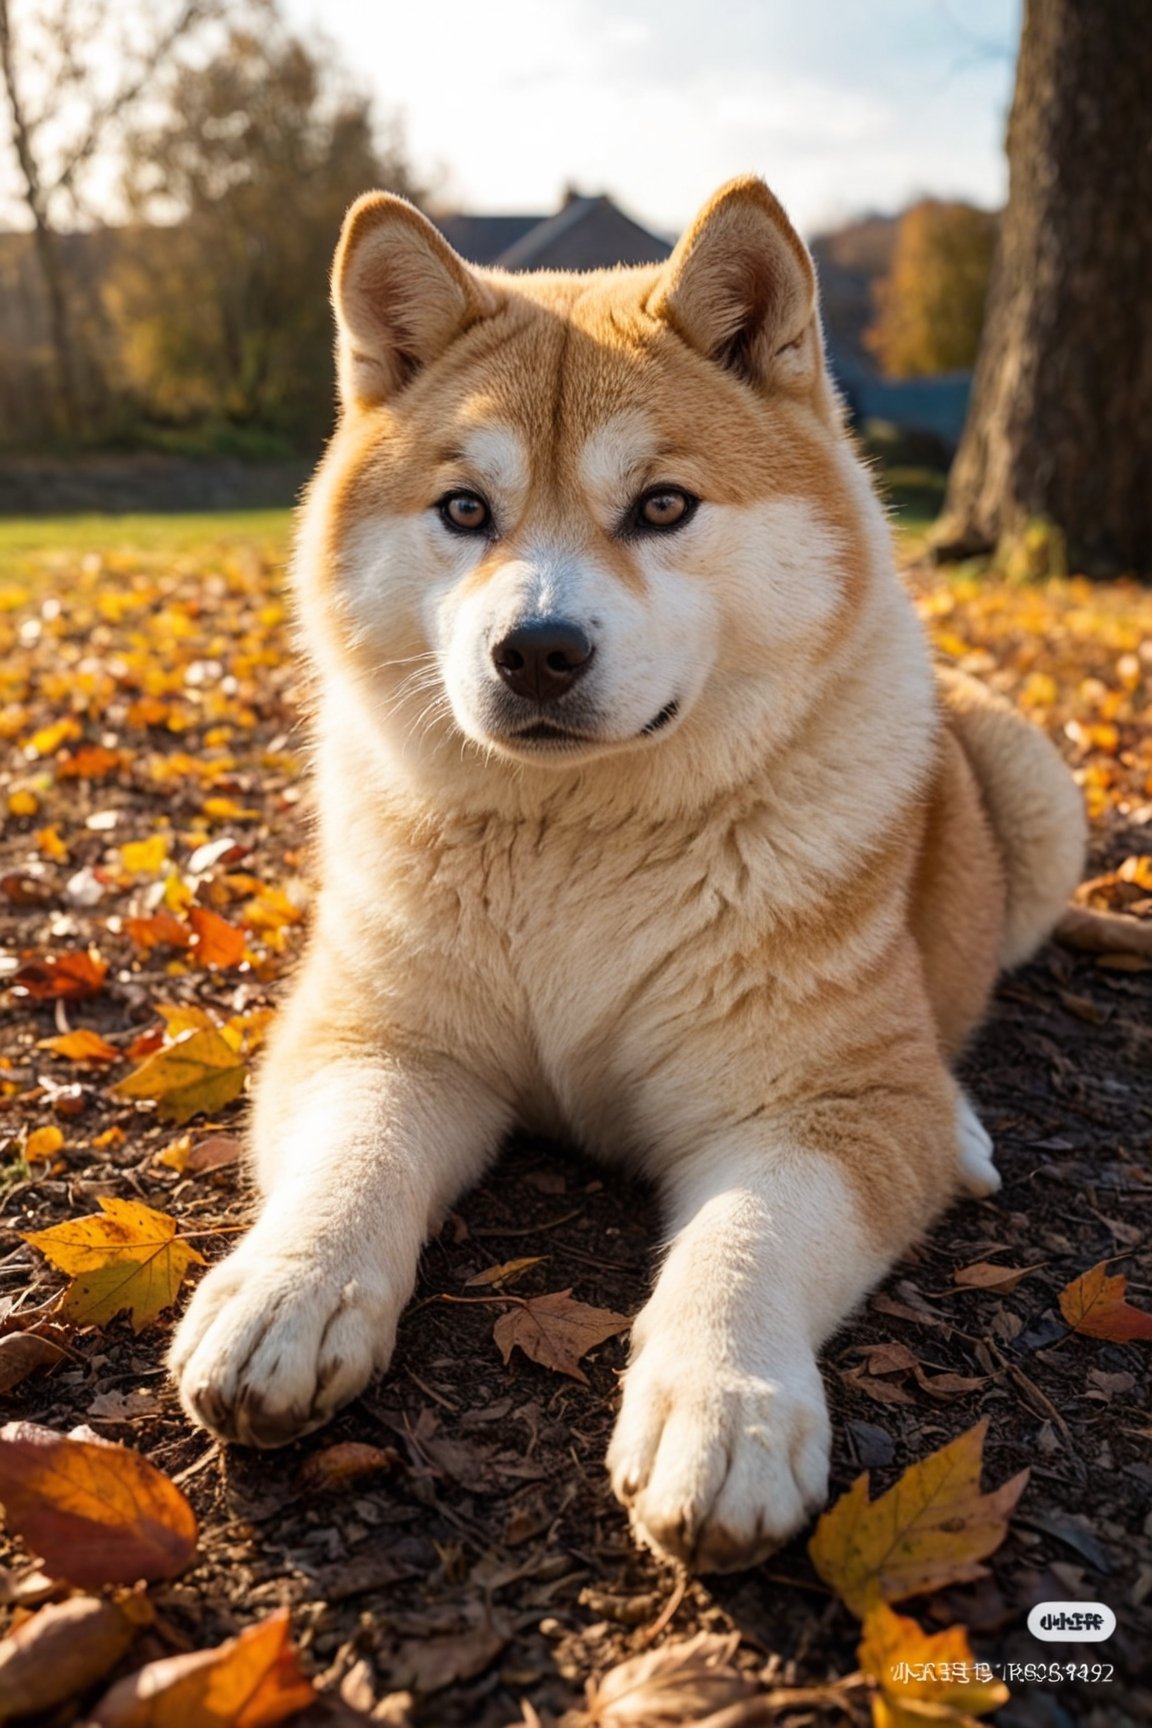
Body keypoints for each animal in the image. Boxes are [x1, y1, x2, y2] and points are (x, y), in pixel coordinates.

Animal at [169, 178, 1084, 1582]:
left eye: (661, 506)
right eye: (465, 512)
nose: (537, 650)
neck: (580, 847)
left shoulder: (827, 1107)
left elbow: (744, 1245)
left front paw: (723, 1407)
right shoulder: (380, 1040)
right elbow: (354, 1161)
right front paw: (287, 1289)